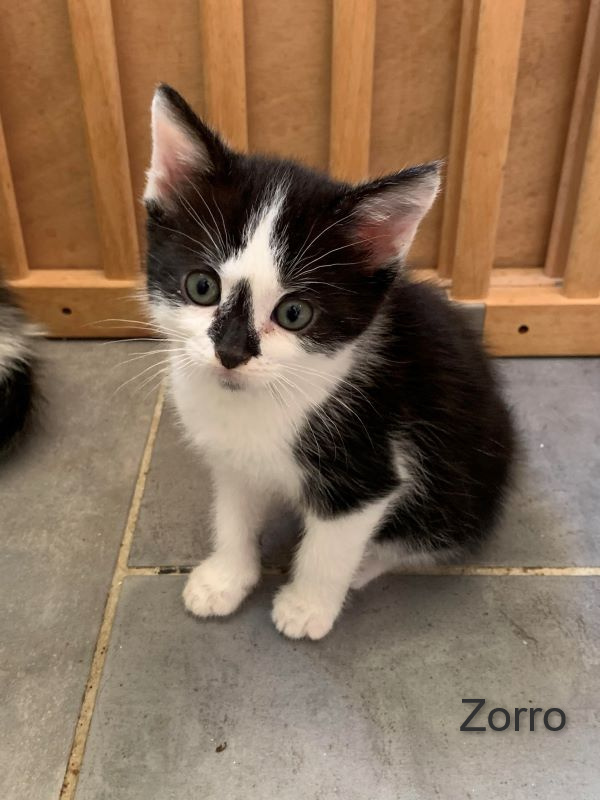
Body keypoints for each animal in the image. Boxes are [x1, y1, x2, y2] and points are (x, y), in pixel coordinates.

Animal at [143, 84, 515, 640]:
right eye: (202, 286)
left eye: (295, 313)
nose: (230, 352)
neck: (256, 404)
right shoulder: (231, 457)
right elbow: (233, 512)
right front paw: (226, 577)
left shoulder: (371, 468)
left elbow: (331, 545)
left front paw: (306, 606)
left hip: (457, 481)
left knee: (435, 536)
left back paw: (369, 562)